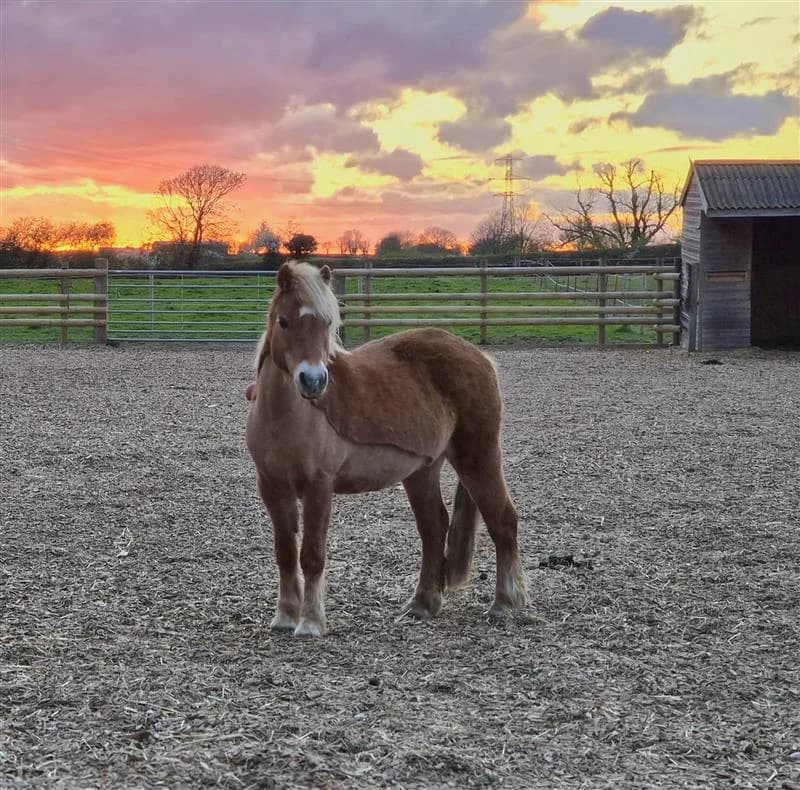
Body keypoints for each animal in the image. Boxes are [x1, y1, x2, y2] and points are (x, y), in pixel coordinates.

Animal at [245, 260, 526, 637]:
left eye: (327, 323)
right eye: (284, 321)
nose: (313, 381)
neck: (287, 419)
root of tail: (480, 357)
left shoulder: (319, 487)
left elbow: (312, 555)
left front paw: (310, 622)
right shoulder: (273, 487)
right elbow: (285, 552)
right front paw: (285, 617)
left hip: (478, 457)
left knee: (502, 519)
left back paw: (504, 604)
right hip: (423, 470)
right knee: (434, 528)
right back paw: (422, 604)